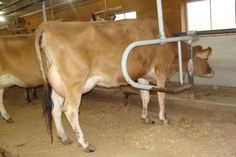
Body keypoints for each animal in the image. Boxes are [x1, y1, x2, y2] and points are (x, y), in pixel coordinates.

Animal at [35, 19, 214, 151]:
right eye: (205, 59)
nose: (211, 71)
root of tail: (49, 24)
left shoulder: (142, 76)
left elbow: (145, 97)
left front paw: (146, 117)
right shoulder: (161, 71)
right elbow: (162, 96)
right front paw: (163, 118)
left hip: (59, 84)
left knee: (56, 108)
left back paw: (63, 137)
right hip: (74, 83)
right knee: (70, 110)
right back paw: (85, 144)